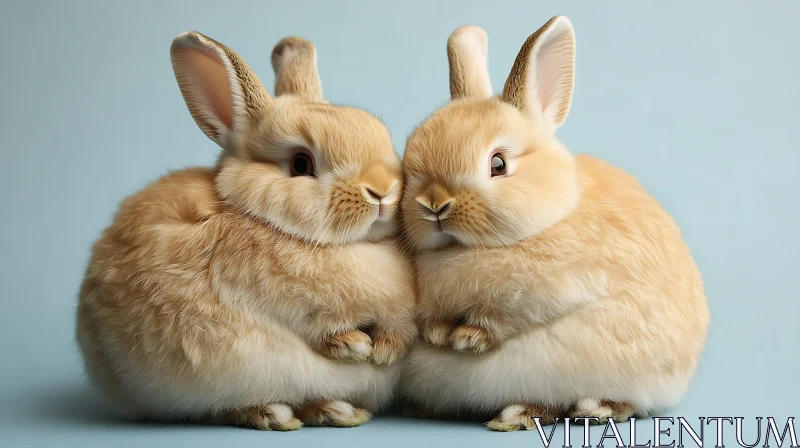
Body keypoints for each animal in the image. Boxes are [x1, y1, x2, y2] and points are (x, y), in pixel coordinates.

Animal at [76, 30, 418, 430]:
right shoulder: (288, 307)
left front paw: (384, 352)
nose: (382, 191)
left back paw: (333, 410)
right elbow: (321, 330)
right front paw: (356, 346)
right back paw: (275, 414)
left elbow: (398, 330)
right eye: (301, 164)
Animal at [396, 16, 708, 430]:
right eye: (408, 165)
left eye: (498, 164)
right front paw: (438, 334)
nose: (434, 205)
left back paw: (570, 410)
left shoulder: (556, 290)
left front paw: (467, 339)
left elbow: (502, 319)